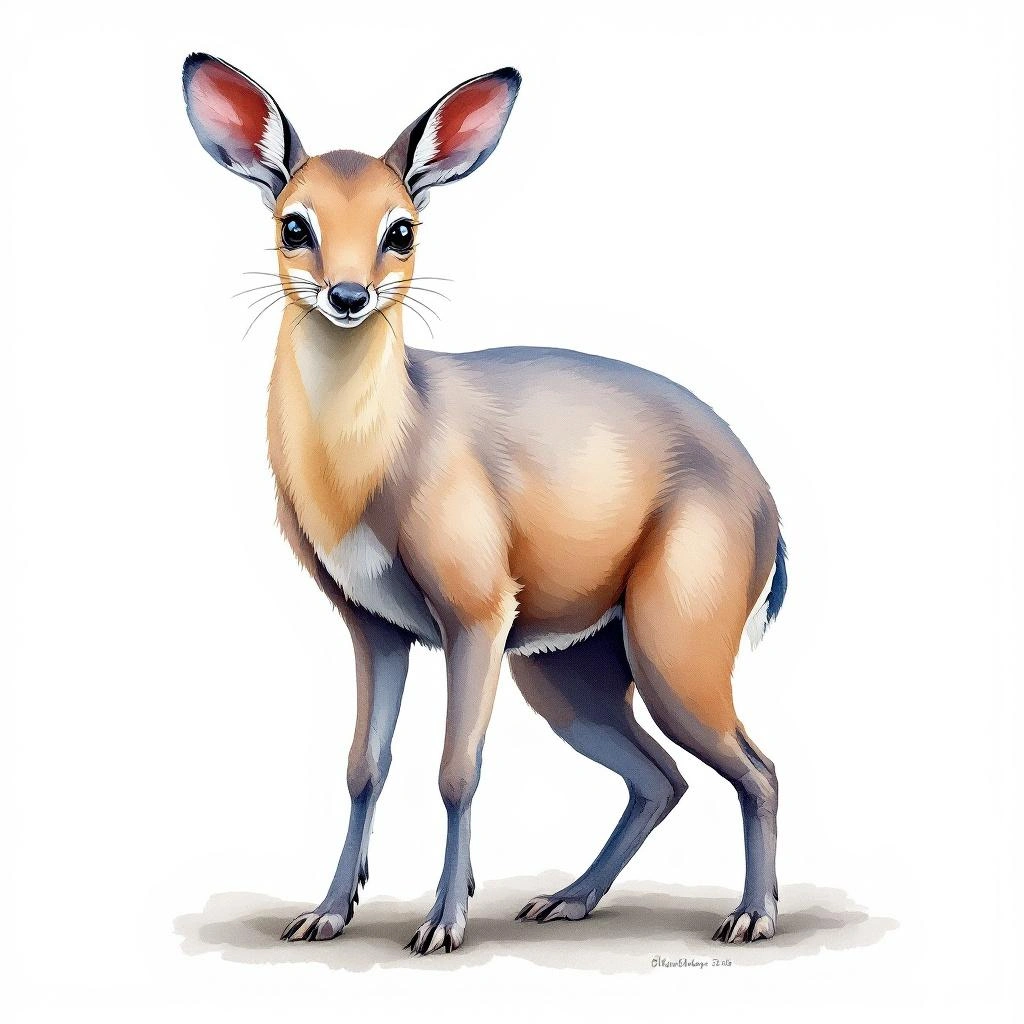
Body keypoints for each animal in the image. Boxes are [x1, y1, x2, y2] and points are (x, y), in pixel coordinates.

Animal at [182, 53, 788, 955]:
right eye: (296, 224)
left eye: (401, 229)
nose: (348, 296)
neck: (386, 452)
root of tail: (767, 501)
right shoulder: (375, 627)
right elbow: (364, 766)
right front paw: (327, 912)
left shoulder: (475, 614)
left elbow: (457, 769)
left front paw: (442, 923)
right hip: (569, 670)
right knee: (661, 777)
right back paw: (568, 899)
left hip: (670, 649)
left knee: (756, 767)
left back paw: (750, 916)